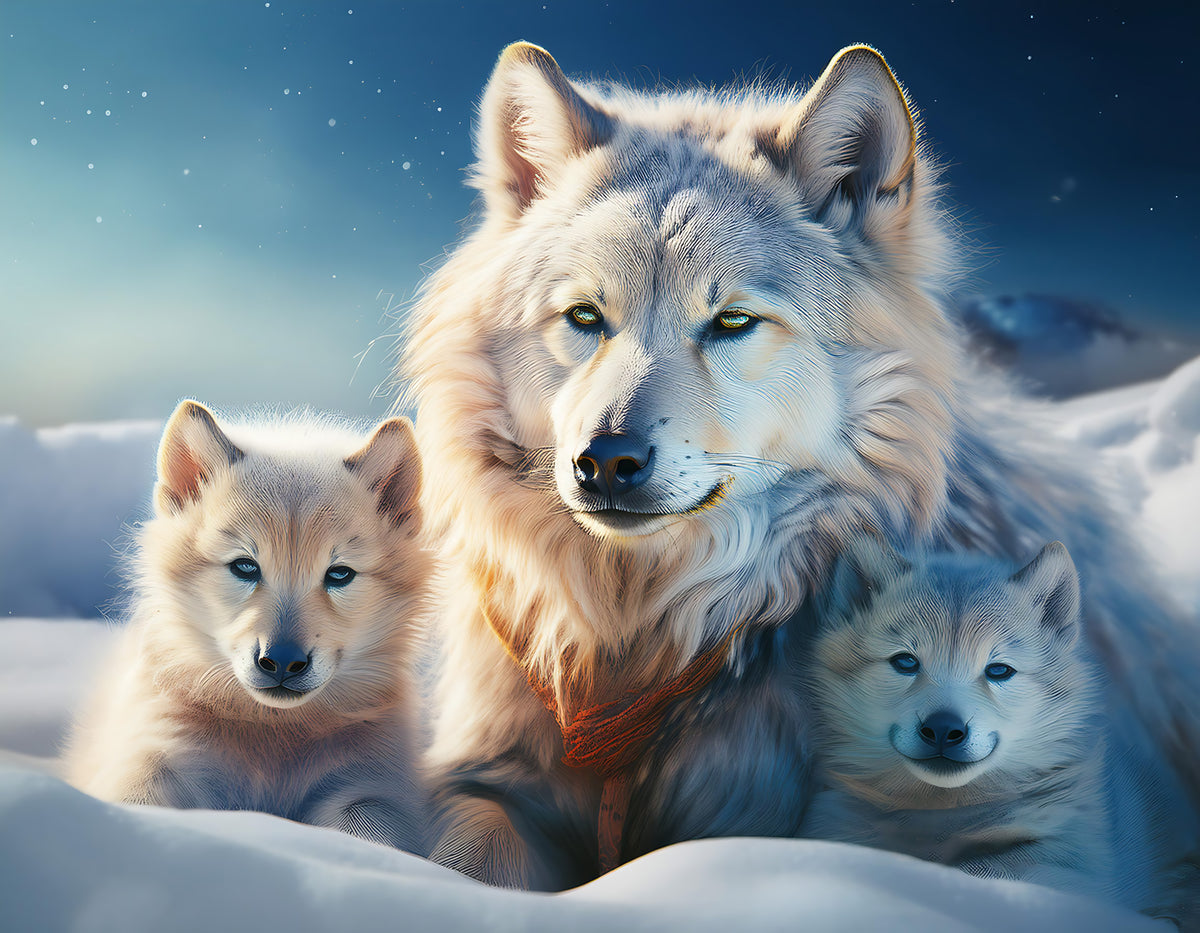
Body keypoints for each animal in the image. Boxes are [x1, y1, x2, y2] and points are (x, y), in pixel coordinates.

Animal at [63, 400, 429, 854]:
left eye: (339, 574)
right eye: (245, 566)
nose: (283, 662)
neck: (272, 733)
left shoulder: (371, 786)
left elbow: (372, 834)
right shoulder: (158, 754)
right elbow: (136, 798)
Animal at [803, 538, 1198, 923]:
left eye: (998, 670)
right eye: (905, 662)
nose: (943, 729)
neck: (942, 811)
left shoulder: (1078, 860)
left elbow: (985, 871)